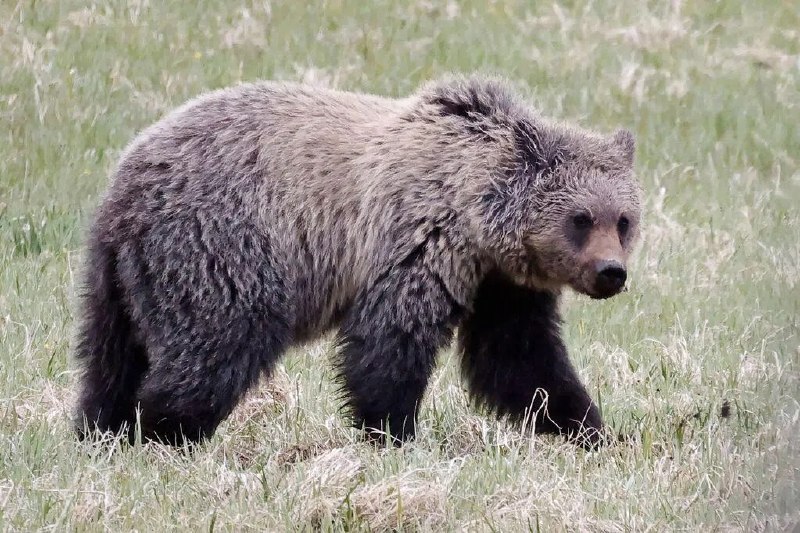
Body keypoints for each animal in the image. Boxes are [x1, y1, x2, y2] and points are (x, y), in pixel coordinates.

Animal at [73, 75, 641, 448]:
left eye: (624, 220)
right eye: (581, 218)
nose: (611, 273)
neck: (478, 216)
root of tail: (126, 184)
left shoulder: (500, 285)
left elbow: (520, 360)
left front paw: (588, 428)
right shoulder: (417, 243)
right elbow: (390, 342)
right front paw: (393, 432)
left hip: (120, 276)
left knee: (111, 356)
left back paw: (102, 428)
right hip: (222, 245)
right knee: (218, 343)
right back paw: (164, 430)